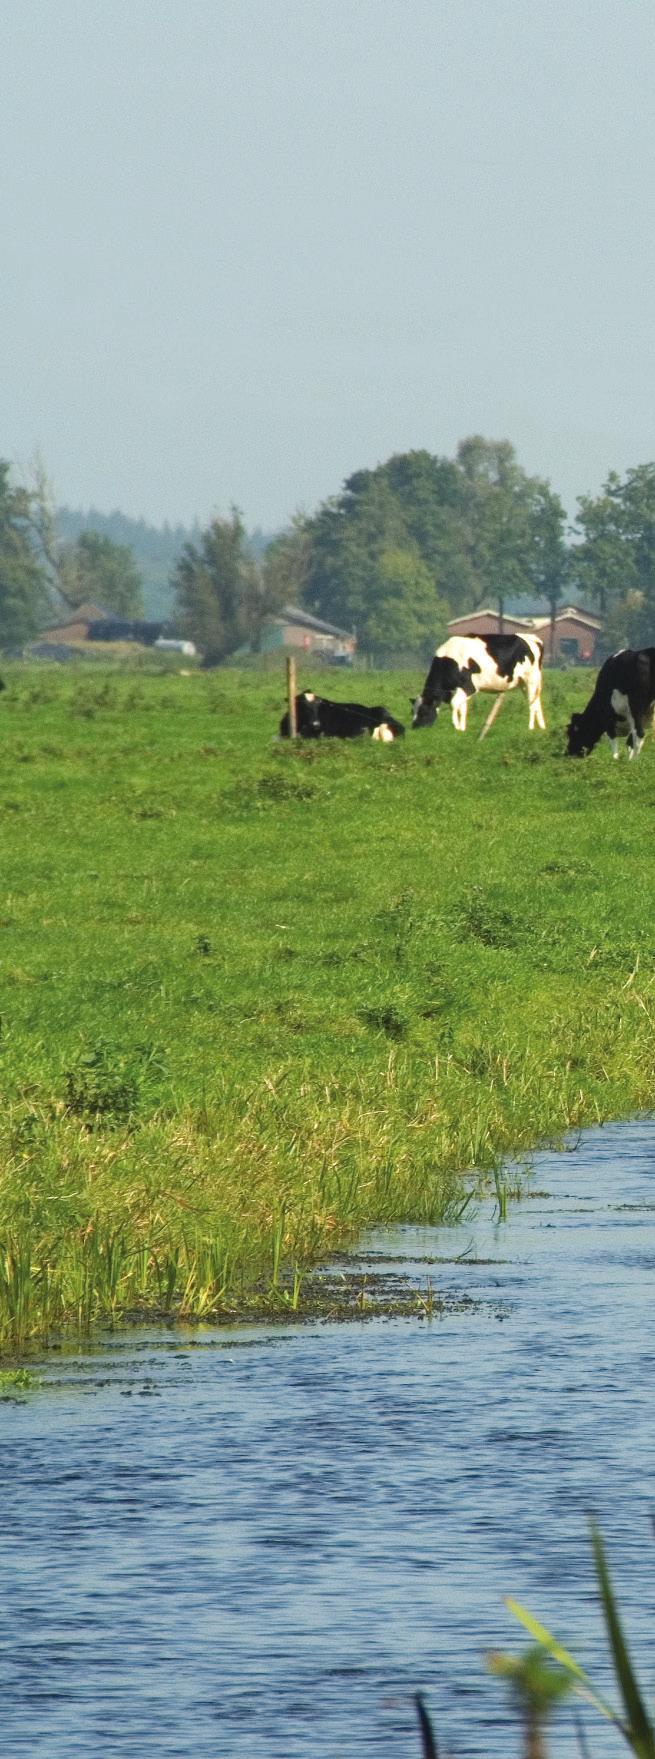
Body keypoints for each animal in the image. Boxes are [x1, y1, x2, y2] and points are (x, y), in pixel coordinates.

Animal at [412, 636, 545, 731]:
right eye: (412, 711)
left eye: (423, 711)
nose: (414, 727)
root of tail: (533, 639)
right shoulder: (461, 689)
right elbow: (462, 708)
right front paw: (462, 729)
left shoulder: (469, 687)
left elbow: (454, 704)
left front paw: (456, 725)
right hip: (524, 683)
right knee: (536, 701)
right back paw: (541, 727)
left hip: (531, 679)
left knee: (532, 704)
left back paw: (530, 727)